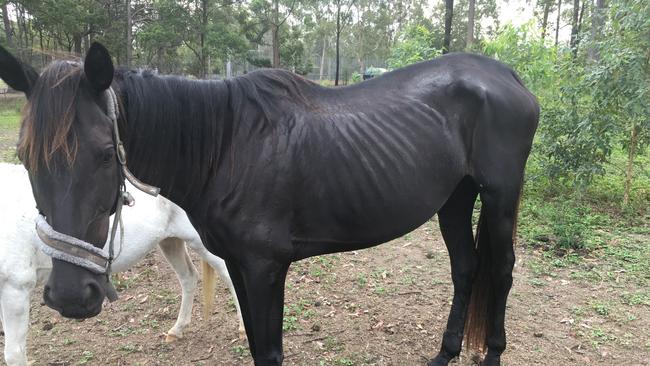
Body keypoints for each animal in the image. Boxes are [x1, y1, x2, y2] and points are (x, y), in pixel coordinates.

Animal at [0, 164, 243, 366]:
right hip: (169, 241)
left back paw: (242, 330)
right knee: (188, 277)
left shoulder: (15, 288)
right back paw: (177, 330)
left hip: (200, 242)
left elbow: (13, 353)